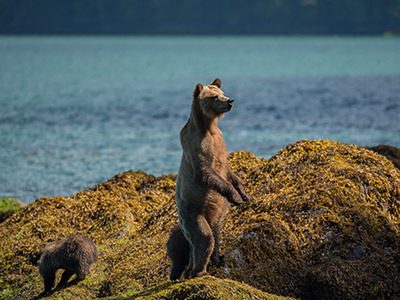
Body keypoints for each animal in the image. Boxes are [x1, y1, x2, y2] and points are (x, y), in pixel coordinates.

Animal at [168, 78, 250, 280]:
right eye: (214, 97)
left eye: (222, 93)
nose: (230, 100)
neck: (210, 128)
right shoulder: (195, 145)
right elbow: (205, 172)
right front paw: (235, 196)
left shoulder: (220, 142)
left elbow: (227, 170)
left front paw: (243, 193)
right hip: (191, 211)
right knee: (203, 237)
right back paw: (197, 271)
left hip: (215, 213)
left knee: (216, 231)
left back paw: (218, 258)